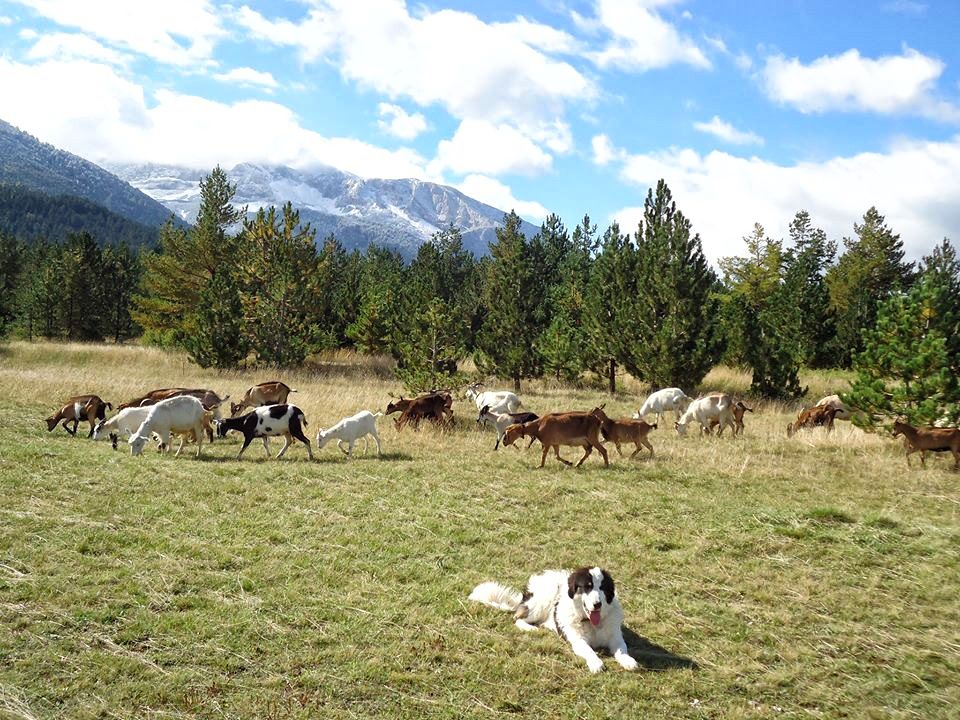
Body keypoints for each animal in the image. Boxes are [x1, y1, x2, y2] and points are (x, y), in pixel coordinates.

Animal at [466, 564, 636, 672]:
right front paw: (595, 663)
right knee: (518, 618)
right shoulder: (577, 640)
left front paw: (628, 661)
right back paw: (531, 628)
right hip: (543, 600)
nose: (597, 604)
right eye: (587, 587)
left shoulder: (615, 638)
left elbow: (622, 650)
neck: (591, 623)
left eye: (602, 588)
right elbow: (588, 650)